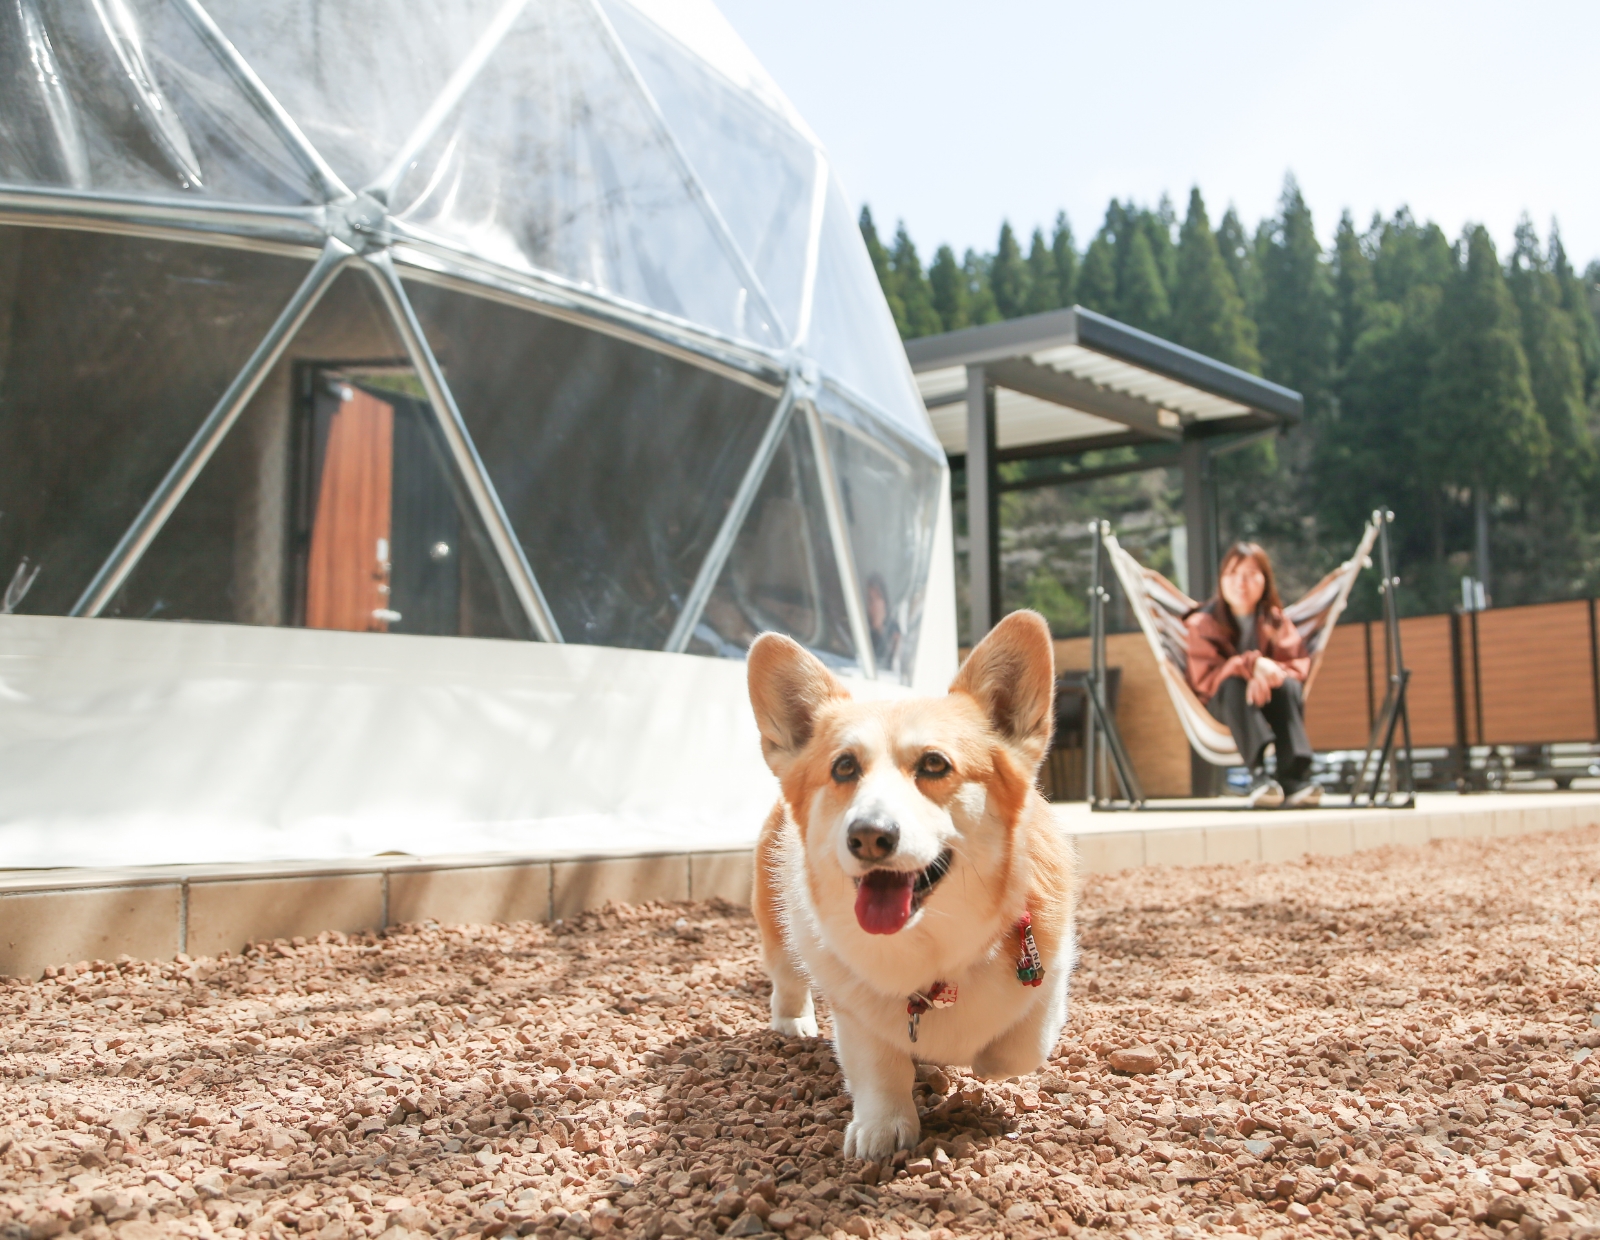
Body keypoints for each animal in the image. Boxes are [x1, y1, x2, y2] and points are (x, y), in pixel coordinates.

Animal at [745, 611, 1075, 1164]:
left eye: (934, 764)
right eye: (844, 767)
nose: (868, 835)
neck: (932, 950)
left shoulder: (1049, 970)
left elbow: (1020, 1045)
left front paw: (983, 1061)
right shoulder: (854, 1012)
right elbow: (880, 1069)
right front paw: (882, 1129)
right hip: (778, 927)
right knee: (786, 977)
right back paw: (794, 1023)